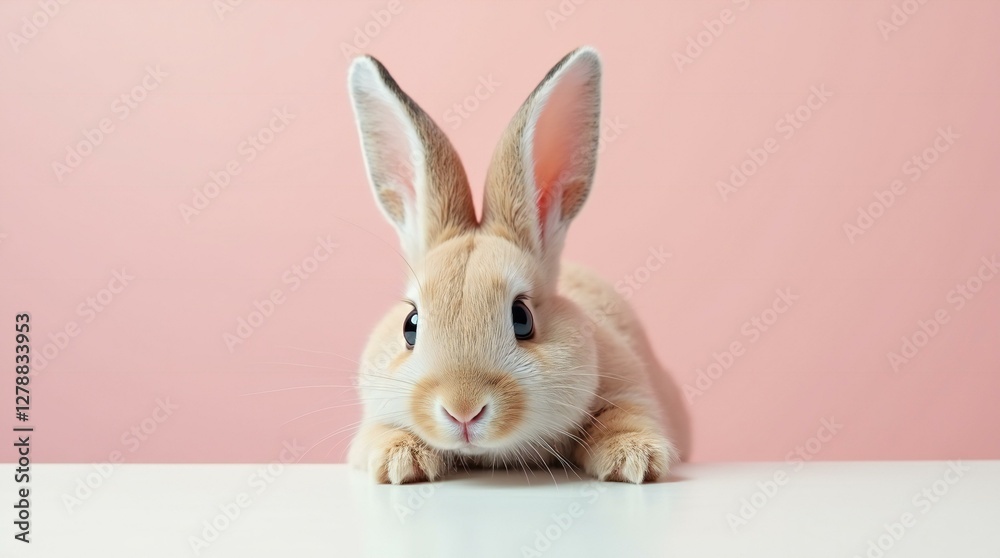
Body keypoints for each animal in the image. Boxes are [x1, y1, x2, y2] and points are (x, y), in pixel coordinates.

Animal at [345, 47, 691, 484]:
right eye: (411, 325)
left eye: (522, 318)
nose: (463, 409)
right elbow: (380, 433)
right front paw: (398, 462)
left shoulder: (632, 389)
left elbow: (625, 417)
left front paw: (635, 460)